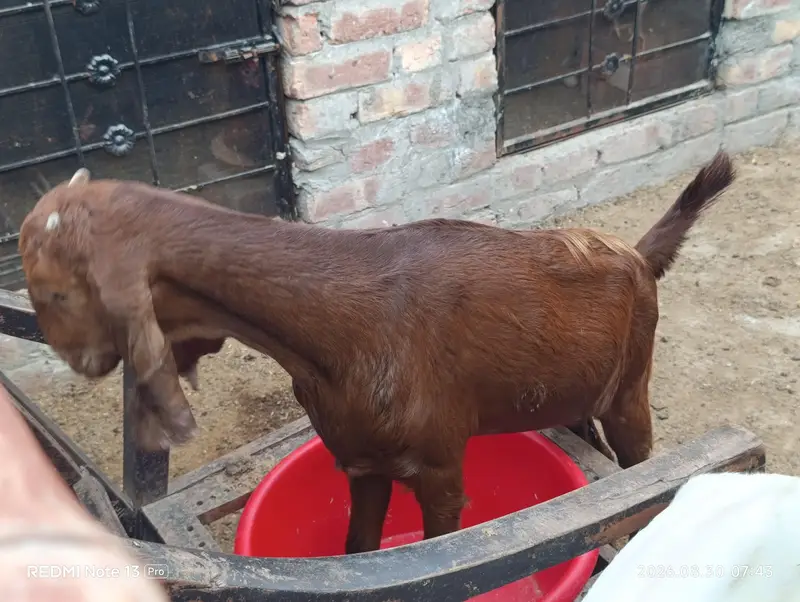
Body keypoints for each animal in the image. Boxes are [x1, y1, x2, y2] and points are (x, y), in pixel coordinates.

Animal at [18, 151, 735, 554]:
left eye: (55, 291)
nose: (74, 358)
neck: (341, 326)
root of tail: (637, 255)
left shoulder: (441, 467)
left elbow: (439, 546)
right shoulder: (361, 462)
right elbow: (360, 547)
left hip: (631, 382)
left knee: (640, 464)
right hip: (567, 385)